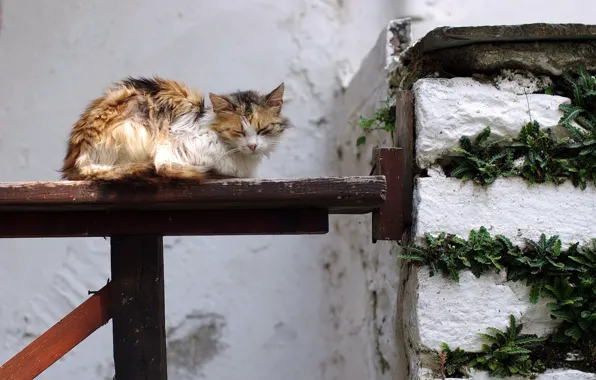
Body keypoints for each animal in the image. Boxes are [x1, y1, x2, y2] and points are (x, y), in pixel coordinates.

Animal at [60, 76, 292, 183]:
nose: (252, 146)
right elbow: (164, 167)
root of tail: (76, 160)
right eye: (238, 132)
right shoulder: (168, 144)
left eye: (263, 130)